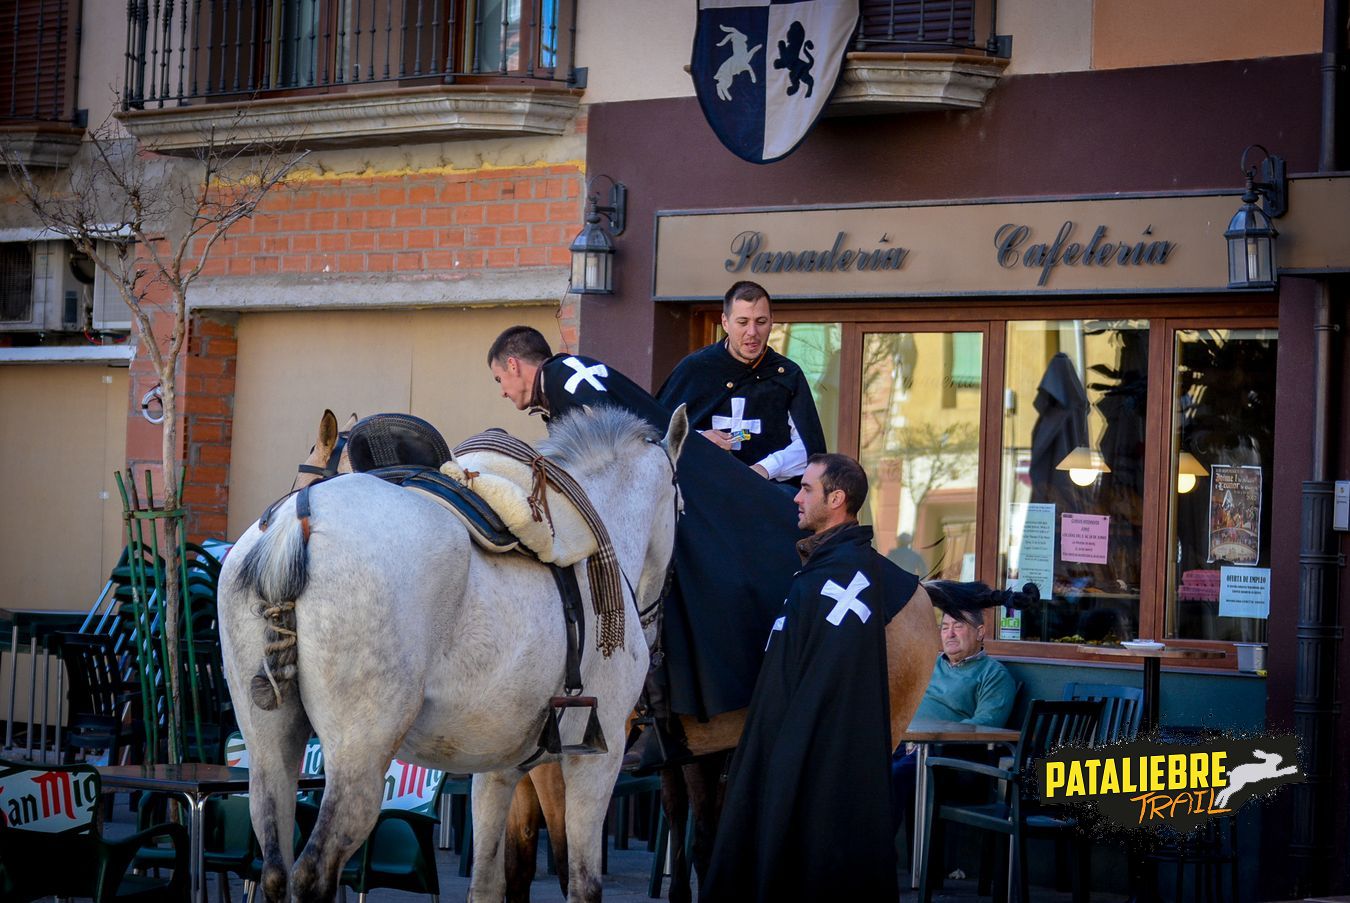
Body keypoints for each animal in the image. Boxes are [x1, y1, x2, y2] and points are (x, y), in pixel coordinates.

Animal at [222, 404, 691, 896]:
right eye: (681, 509)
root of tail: (298, 521)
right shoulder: (597, 760)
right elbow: (580, 881)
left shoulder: (499, 768)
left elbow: (488, 881)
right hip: (360, 754)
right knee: (311, 872)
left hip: (268, 750)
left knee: (275, 868)